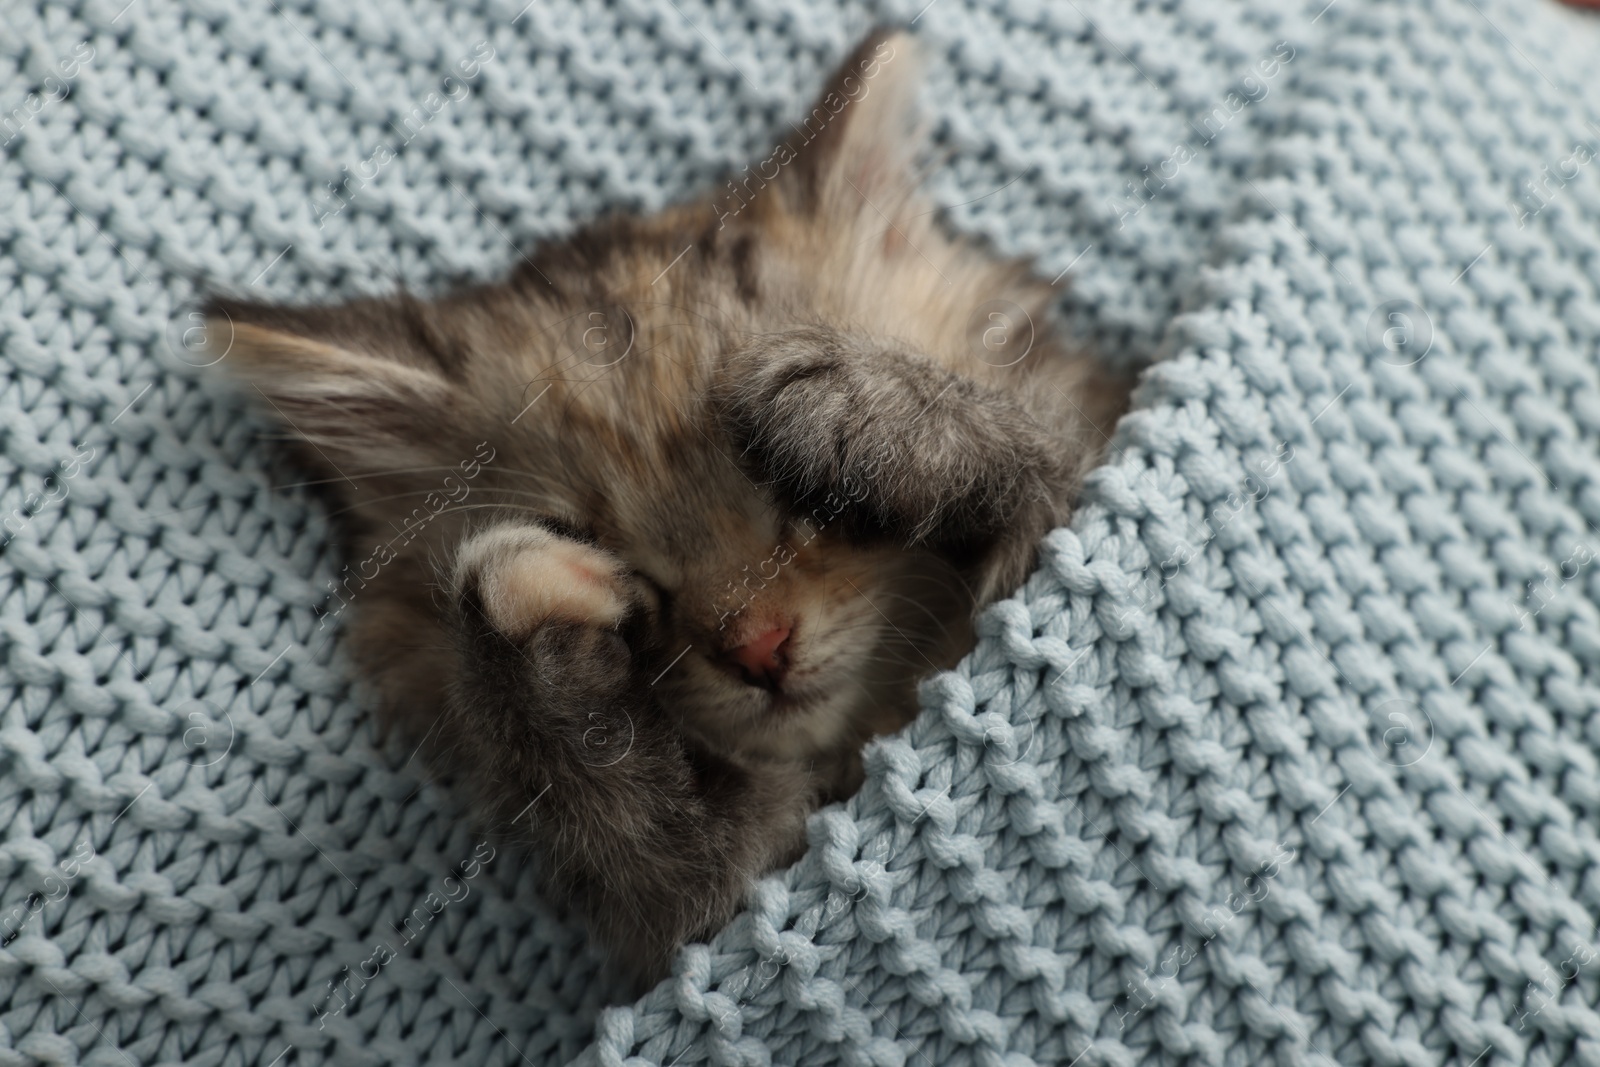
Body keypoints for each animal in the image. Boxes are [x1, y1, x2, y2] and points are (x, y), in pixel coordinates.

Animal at [209, 31, 1126, 985]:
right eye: (602, 546)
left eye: (810, 502)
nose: (757, 649)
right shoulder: (725, 885)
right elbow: (630, 817)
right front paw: (523, 607)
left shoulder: (1087, 462)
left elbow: (1032, 449)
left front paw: (851, 401)